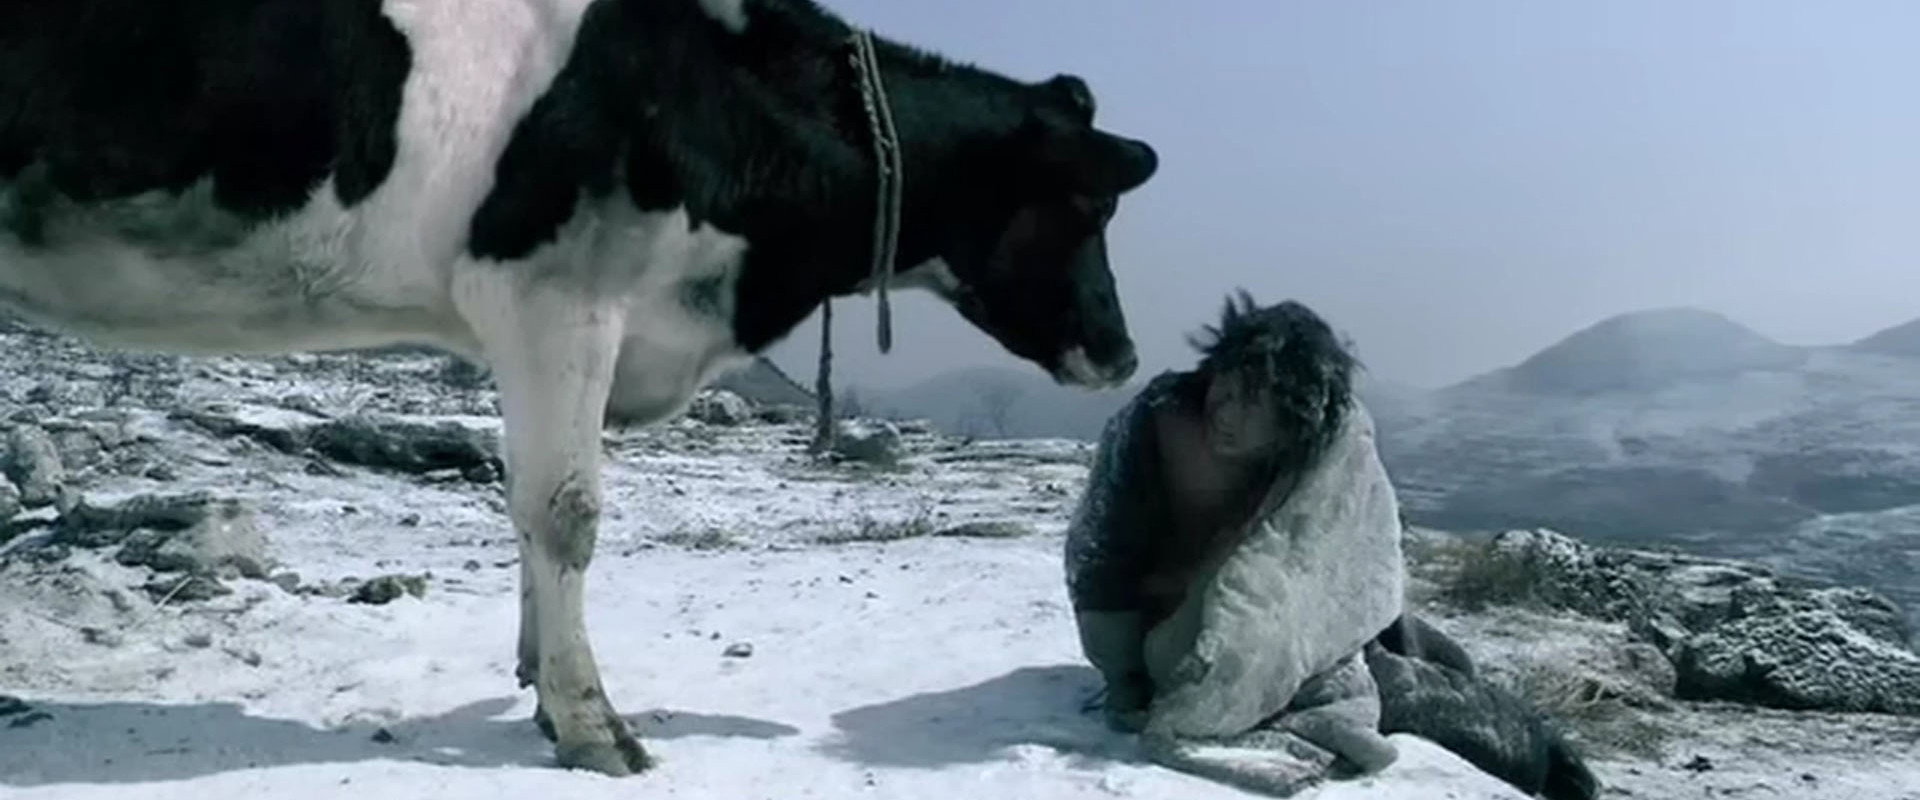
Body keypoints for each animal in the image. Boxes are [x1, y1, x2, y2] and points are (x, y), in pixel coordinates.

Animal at [0, 0, 1159, 775]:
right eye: (1083, 204)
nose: (1120, 354)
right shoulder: (557, 292)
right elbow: (566, 511)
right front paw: (591, 719)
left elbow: (522, 503)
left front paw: (534, 677)